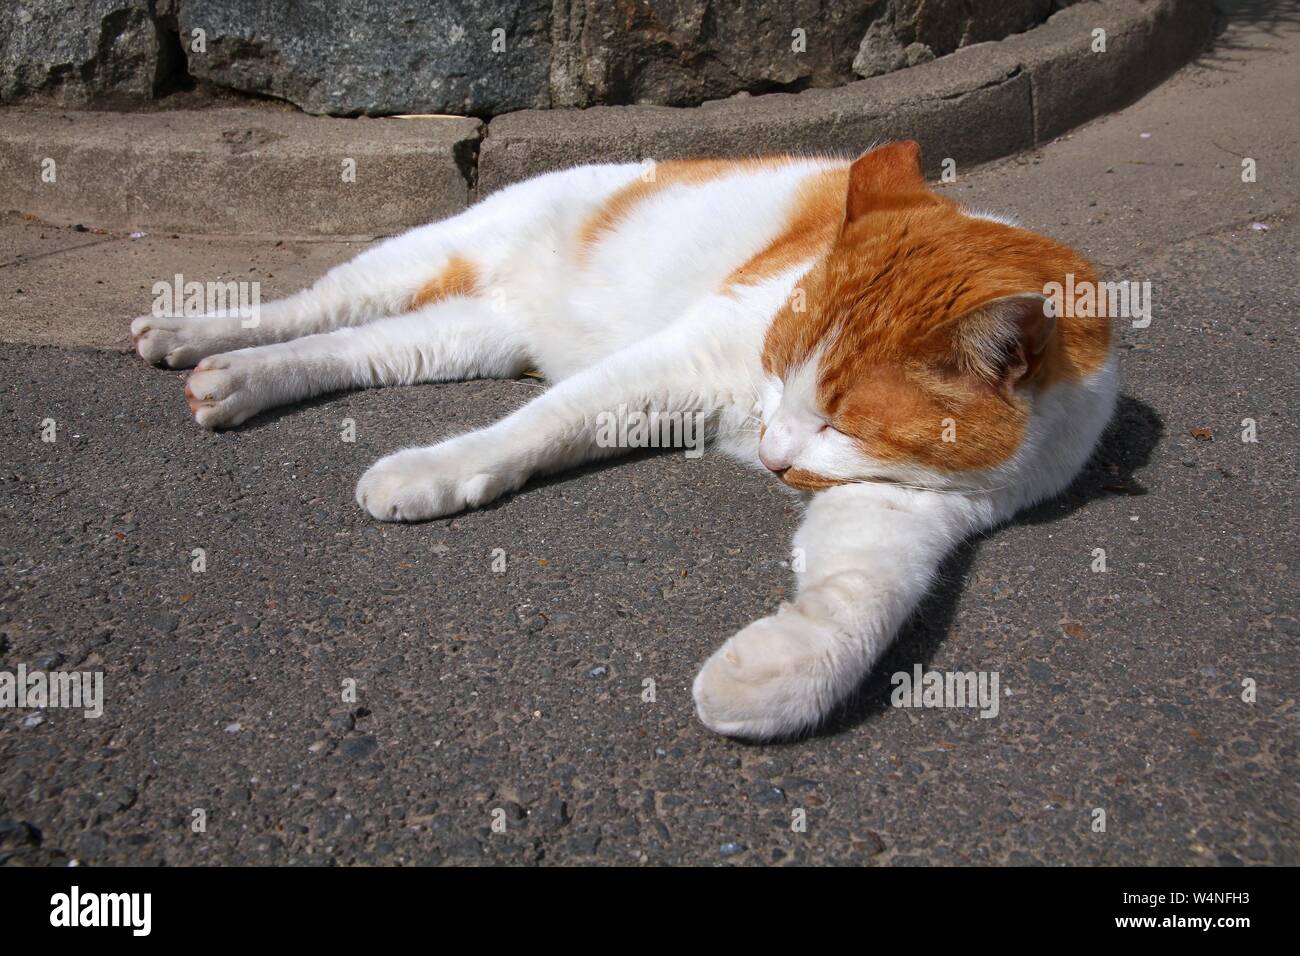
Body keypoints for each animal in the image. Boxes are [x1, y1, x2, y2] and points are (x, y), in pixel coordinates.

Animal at [131, 141, 1118, 738]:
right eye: (776, 369)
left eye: (839, 423)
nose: (770, 454)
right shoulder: (675, 361)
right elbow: (537, 423)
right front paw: (436, 468)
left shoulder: (898, 505)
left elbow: (864, 597)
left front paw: (773, 675)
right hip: (425, 255)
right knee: (309, 306)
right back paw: (193, 336)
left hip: (460, 337)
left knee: (348, 348)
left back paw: (238, 381)